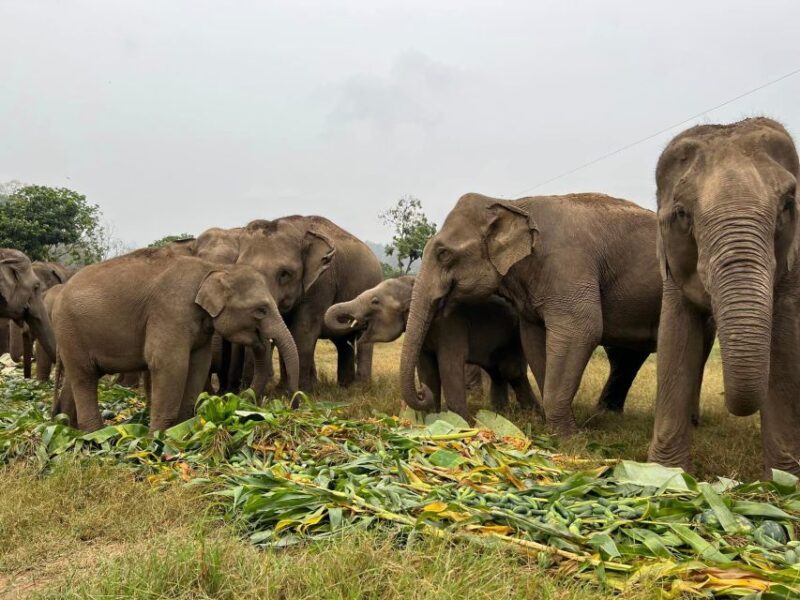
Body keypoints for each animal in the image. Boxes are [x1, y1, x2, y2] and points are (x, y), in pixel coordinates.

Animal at [52, 248, 299, 432]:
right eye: (260, 310)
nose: (293, 404)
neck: (212, 269)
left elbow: (199, 364)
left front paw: (182, 429)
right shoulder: (170, 310)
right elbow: (170, 364)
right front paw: (157, 440)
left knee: (76, 378)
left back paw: (68, 428)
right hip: (70, 330)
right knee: (84, 377)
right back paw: (95, 435)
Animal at [237, 215, 383, 390]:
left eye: (284, 274)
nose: (242, 389)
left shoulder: (321, 284)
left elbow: (302, 331)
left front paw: (299, 391)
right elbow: (286, 333)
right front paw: (283, 389)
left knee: (364, 338)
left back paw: (359, 388)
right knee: (342, 341)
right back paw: (344, 387)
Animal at [325, 276, 542, 420]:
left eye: (375, 301)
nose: (421, 391)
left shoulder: (451, 326)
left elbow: (448, 367)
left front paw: (466, 425)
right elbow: (427, 369)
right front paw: (430, 419)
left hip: (514, 337)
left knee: (510, 370)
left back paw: (529, 417)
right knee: (499, 372)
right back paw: (503, 414)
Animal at [399, 193, 663, 434]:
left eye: (443, 254)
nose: (423, 392)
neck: (512, 203)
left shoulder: (567, 268)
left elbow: (582, 330)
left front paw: (568, 438)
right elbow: (533, 339)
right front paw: (556, 430)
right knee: (626, 357)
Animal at [648, 117, 800, 475]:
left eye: (787, 205)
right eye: (682, 214)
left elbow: (784, 345)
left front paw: (784, 480)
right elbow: (675, 337)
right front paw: (664, 475)